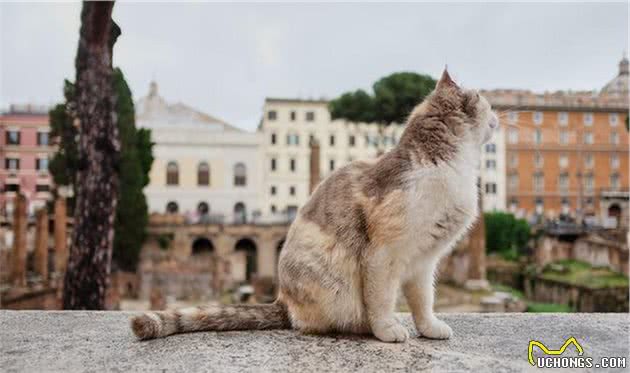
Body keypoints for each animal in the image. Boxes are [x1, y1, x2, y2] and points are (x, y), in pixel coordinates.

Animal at [132, 68, 498, 342]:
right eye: (485, 102)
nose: (498, 117)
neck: (448, 166)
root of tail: (282, 300)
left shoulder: (424, 261)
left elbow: (424, 300)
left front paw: (429, 327)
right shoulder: (383, 254)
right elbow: (380, 299)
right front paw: (387, 329)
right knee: (319, 321)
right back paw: (362, 326)